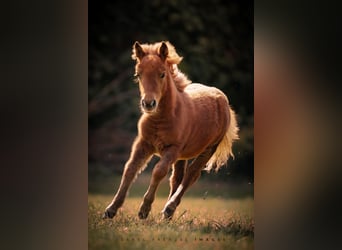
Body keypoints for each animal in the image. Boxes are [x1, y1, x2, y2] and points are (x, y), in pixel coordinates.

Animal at [103, 42, 239, 220]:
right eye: (138, 74)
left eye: (162, 74)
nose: (148, 103)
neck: (160, 119)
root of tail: (222, 98)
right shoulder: (143, 144)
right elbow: (130, 169)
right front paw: (111, 209)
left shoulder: (172, 149)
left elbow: (158, 171)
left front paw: (144, 210)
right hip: (183, 155)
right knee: (177, 178)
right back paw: (167, 214)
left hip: (208, 149)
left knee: (190, 176)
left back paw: (169, 207)